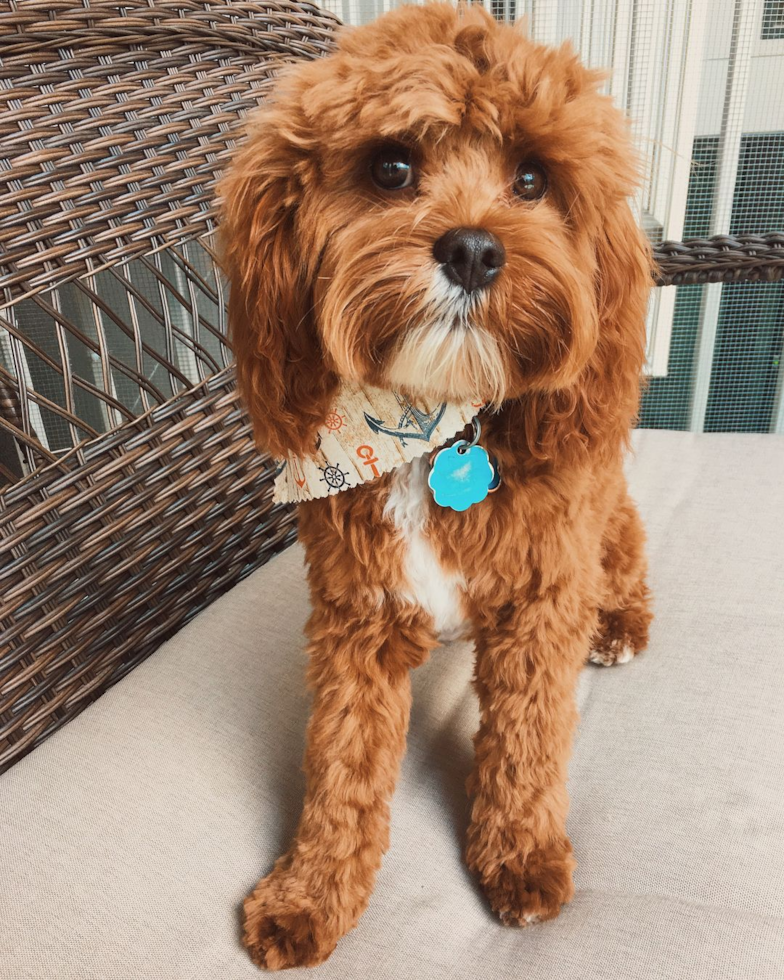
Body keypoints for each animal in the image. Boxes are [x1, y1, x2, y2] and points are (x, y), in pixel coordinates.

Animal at [217, 1, 652, 972]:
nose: (475, 249)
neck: (429, 424)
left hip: (607, 523)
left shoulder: (540, 603)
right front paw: (311, 892)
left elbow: (527, 741)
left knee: (628, 562)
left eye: (532, 177)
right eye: (391, 166)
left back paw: (619, 624)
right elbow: (341, 763)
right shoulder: (356, 619)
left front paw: (522, 857)